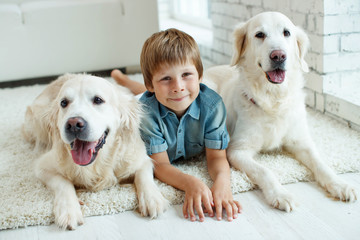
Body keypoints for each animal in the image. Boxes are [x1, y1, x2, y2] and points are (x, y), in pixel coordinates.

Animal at [22, 74, 169, 230]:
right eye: (63, 103)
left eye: (98, 100)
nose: (74, 124)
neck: (97, 162)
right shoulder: (42, 167)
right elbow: (63, 183)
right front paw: (68, 210)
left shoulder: (140, 158)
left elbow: (144, 175)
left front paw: (152, 198)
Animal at [205, 11, 358, 210]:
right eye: (259, 34)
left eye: (287, 33)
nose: (278, 56)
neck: (273, 100)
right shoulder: (237, 150)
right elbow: (265, 171)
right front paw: (280, 194)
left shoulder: (301, 142)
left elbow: (321, 164)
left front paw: (340, 184)